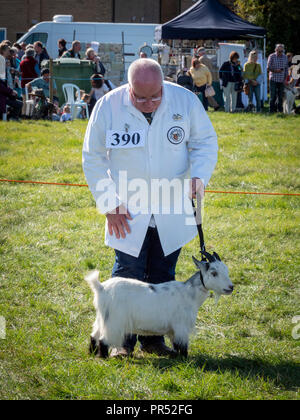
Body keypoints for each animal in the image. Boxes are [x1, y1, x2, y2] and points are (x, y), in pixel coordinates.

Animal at [85, 253, 233, 358]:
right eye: (214, 273)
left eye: (226, 270)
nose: (231, 287)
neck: (189, 293)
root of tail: (101, 288)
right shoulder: (181, 326)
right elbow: (182, 345)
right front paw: (185, 360)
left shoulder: (174, 330)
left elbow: (176, 345)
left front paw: (175, 357)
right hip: (114, 321)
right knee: (103, 339)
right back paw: (103, 357)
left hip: (102, 317)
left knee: (94, 335)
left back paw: (92, 354)